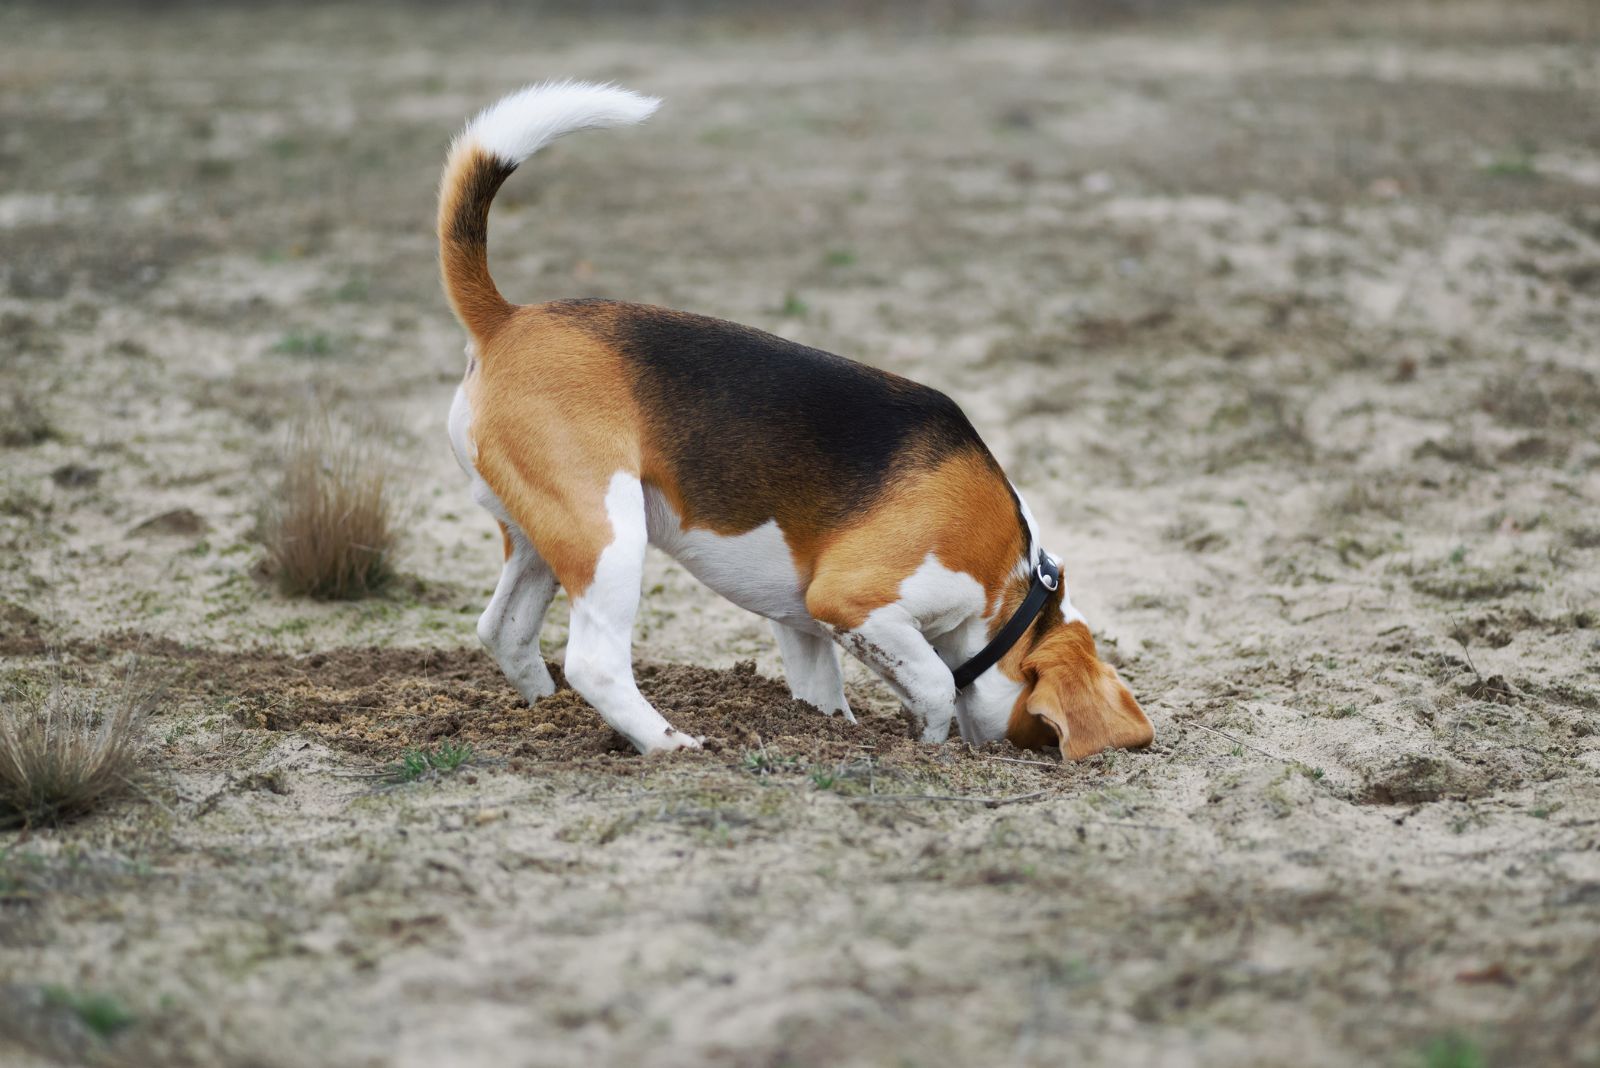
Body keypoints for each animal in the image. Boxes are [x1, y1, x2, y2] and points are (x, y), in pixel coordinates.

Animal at [438, 83, 1152, 757]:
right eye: (1044, 732)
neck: (1010, 577)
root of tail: (507, 319)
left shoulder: (802, 625)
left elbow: (825, 693)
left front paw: (831, 732)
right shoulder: (852, 601)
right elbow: (935, 684)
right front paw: (928, 743)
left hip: (539, 535)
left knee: (503, 631)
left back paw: (547, 710)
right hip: (608, 534)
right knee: (594, 662)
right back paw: (669, 744)